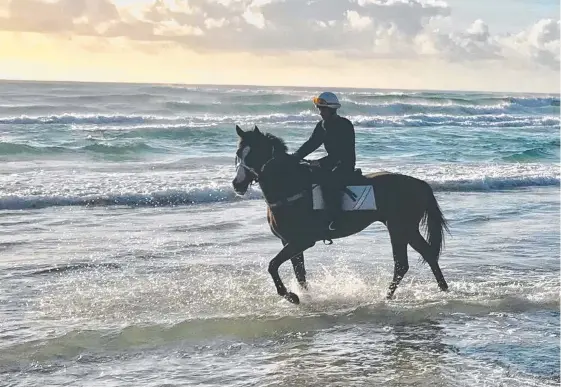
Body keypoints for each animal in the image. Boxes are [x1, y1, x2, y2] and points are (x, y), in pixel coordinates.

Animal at [230, 126, 448, 304]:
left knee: (404, 263)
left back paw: (389, 297)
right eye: (239, 154)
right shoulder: (288, 241)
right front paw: (305, 297)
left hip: (400, 228)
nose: (237, 184)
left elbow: (273, 265)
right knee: (423, 257)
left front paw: (291, 296)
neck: (290, 186)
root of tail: (419, 184)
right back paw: (441, 290)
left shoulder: (302, 241)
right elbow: (299, 274)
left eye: (254, 153)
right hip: (404, 229)